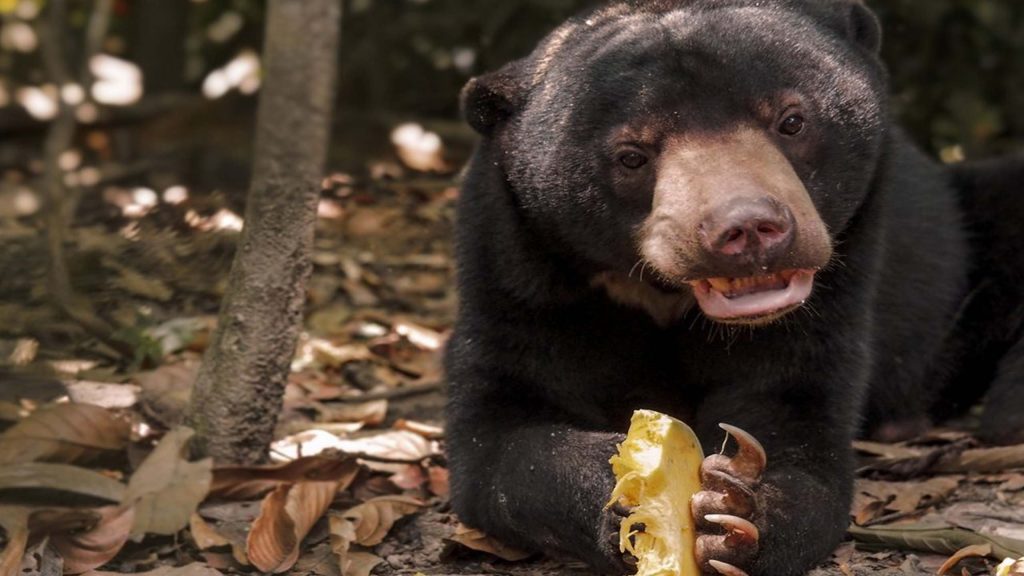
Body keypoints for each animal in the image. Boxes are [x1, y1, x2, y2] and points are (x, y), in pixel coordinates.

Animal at [444, 1, 1019, 573]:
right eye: (632, 155)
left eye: (792, 121)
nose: (748, 228)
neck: (664, 295)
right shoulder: (516, 278)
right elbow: (498, 441)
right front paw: (625, 490)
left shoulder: (835, 294)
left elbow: (796, 416)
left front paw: (734, 511)